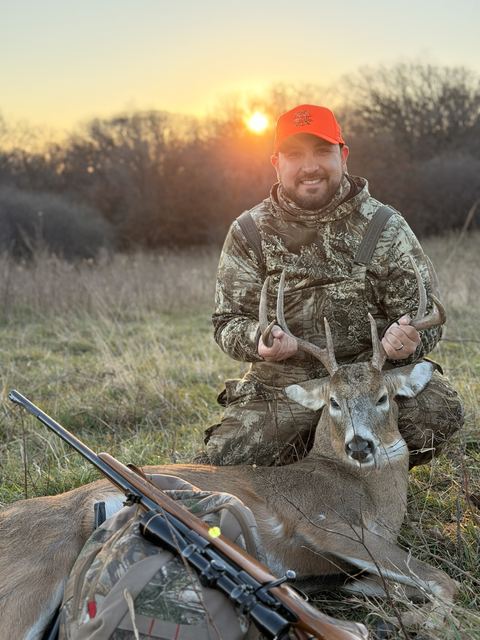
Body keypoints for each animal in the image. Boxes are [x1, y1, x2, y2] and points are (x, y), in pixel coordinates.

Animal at [0, 260, 457, 639]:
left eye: (383, 397)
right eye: (333, 402)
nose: (360, 445)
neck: (371, 495)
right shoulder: (327, 525)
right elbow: (443, 580)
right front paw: (417, 620)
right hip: (38, 571)